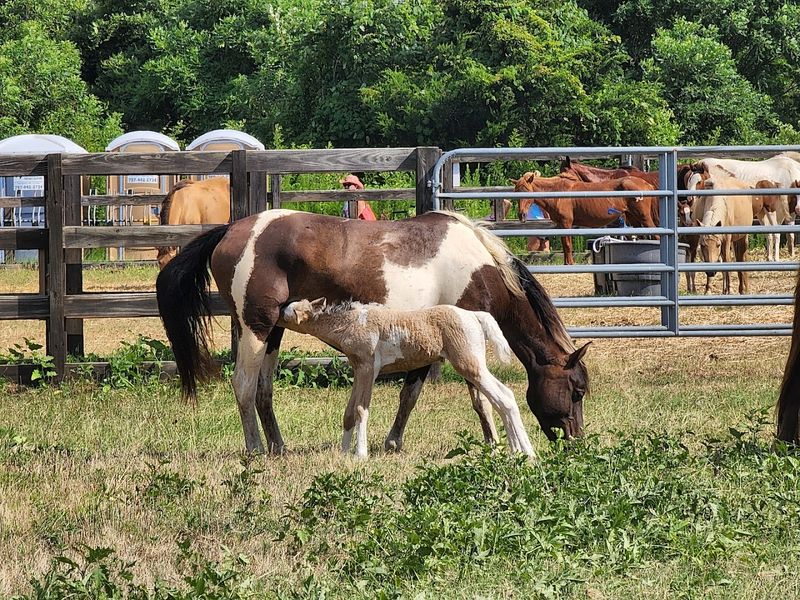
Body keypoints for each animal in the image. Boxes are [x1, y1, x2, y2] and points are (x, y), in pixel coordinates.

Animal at [280, 298, 535, 458]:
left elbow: (361, 409)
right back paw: (517, 451)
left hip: (470, 365)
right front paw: (343, 454)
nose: (276, 310)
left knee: (504, 398)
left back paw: (527, 452)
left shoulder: (368, 369)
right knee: (503, 397)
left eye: (288, 310)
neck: (354, 322)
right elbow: (349, 412)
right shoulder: (358, 370)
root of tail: (474, 316)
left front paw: (360, 454)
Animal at [512, 171, 657, 265]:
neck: (556, 192)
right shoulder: (560, 225)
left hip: (644, 217)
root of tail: (646, 184)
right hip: (633, 218)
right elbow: (565, 245)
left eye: (527, 191)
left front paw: (570, 264)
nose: (521, 215)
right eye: (516, 191)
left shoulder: (566, 223)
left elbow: (568, 245)